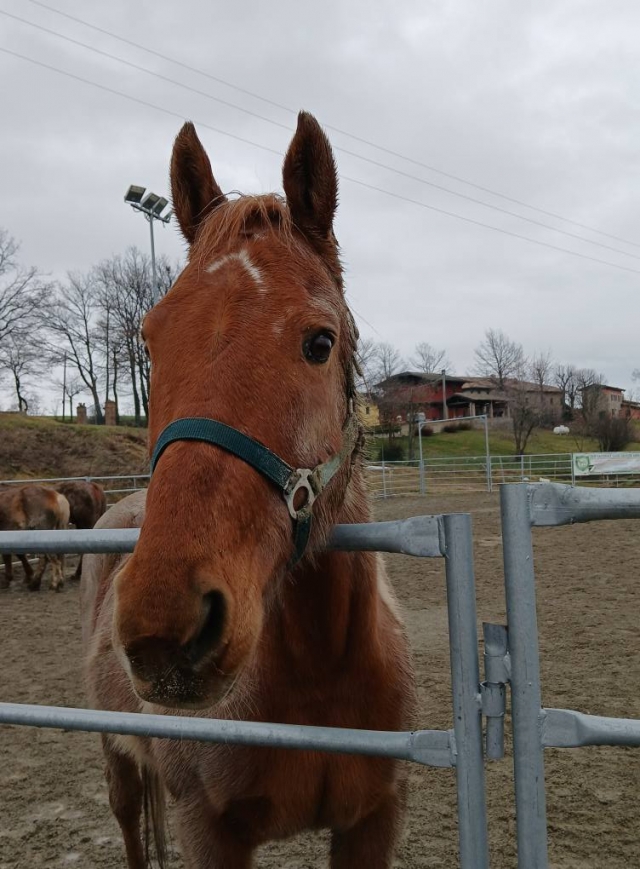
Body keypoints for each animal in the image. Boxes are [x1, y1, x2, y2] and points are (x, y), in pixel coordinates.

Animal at [81, 111, 416, 868]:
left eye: (320, 342)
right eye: (151, 340)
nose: (163, 624)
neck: (322, 665)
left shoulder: (373, 820)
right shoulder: (209, 829)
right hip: (117, 758)